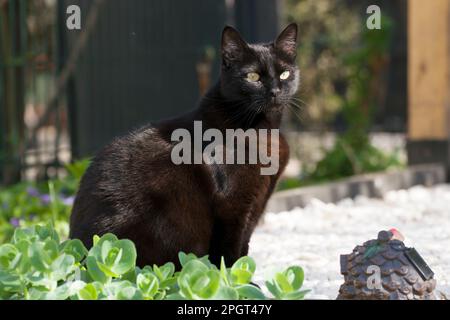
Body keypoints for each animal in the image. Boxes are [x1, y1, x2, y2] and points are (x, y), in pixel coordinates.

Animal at [70, 23, 300, 268]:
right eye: (253, 76)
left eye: (285, 74)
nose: (275, 92)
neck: (264, 130)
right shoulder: (233, 205)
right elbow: (230, 252)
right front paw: (231, 278)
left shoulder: (256, 204)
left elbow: (244, 248)